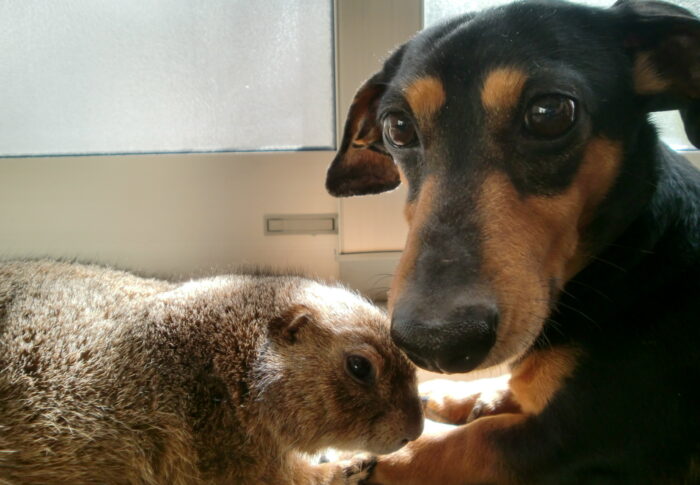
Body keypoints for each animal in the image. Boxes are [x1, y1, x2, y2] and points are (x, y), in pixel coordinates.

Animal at [328, 0, 700, 484]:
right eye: (398, 126)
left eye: (550, 113)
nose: (435, 346)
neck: (632, 257)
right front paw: (459, 396)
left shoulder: (591, 440)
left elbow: (454, 446)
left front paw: (354, 461)